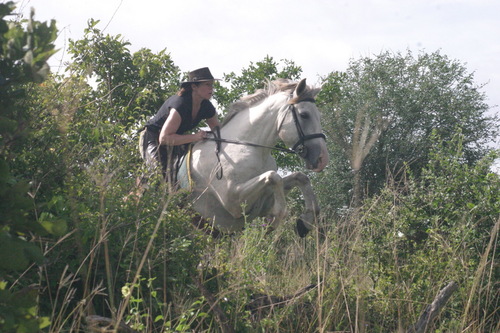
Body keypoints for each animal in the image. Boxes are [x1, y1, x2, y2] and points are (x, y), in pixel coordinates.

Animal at [178, 78, 330, 236]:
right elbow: (273, 177)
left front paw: (305, 222)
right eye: (304, 115)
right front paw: (274, 219)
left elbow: (300, 177)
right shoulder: (233, 201)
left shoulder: (264, 198)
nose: (322, 159)